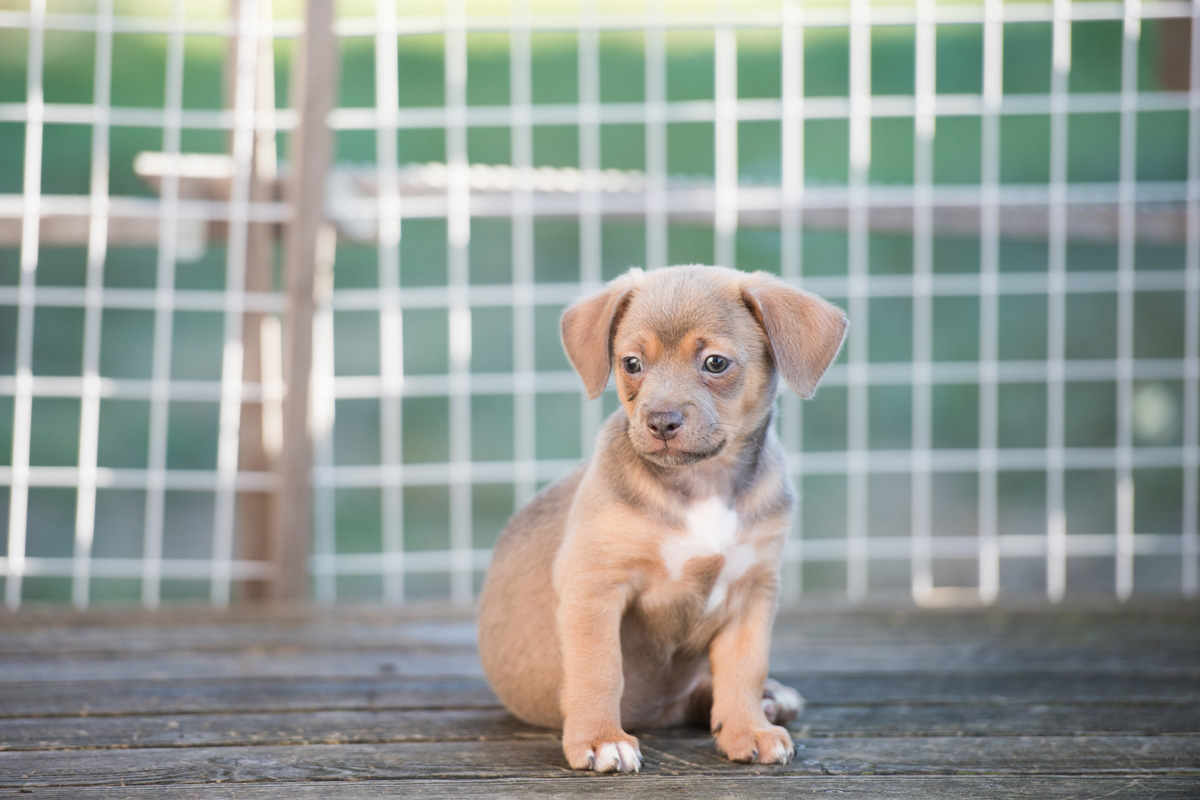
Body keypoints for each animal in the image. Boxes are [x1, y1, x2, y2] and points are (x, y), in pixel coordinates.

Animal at [472, 266, 849, 772]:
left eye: (715, 363)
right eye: (631, 363)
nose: (661, 422)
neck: (702, 483)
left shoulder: (753, 590)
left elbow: (745, 668)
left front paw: (747, 729)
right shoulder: (595, 586)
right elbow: (599, 669)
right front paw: (600, 739)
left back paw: (769, 702)